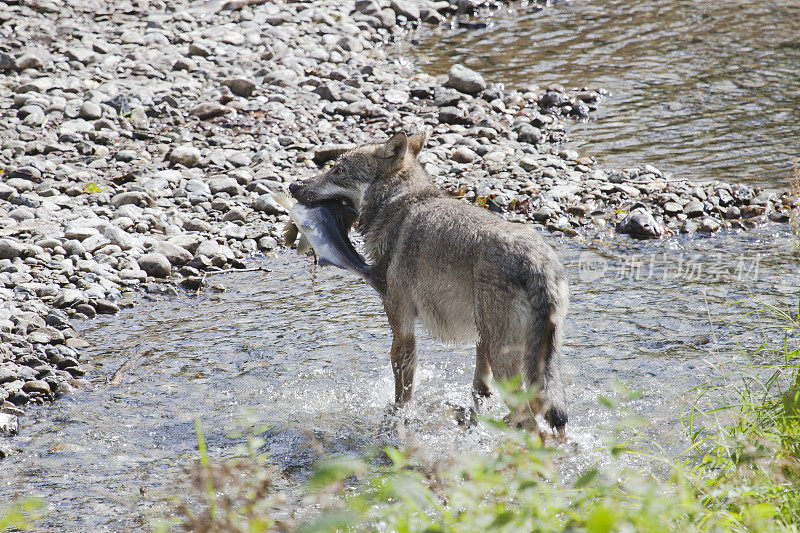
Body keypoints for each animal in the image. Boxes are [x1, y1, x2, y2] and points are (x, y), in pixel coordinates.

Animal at [288, 131, 568, 434]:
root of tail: (540, 264)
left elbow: (402, 392)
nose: (293, 185)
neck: (399, 204)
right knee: (547, 414)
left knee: (533, 425)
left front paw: (397, 423)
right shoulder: (480, 341)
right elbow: (479, 388)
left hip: (506, 361)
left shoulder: (402, 328)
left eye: (338, 171)